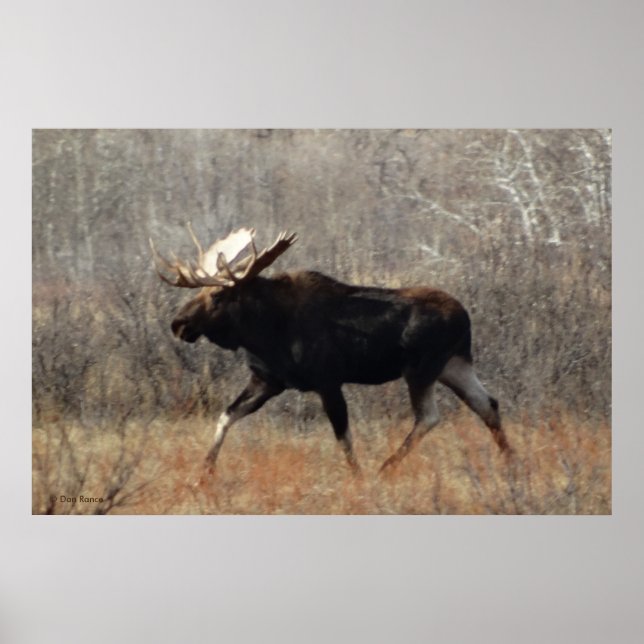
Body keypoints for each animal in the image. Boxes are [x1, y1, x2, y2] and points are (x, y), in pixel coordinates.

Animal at [150, 226, 510, 476]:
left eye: (217, 296)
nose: (178, 324)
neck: (264, 331)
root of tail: (465, 316)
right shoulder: (268, 381)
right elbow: (226, 416)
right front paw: (204, 473)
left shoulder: (327, 381)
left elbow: (343, 438)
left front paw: (359, 477)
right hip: (454, 365)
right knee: (487, 404)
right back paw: (512, 462)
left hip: (422, 369)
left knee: (429, 417)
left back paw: (385, 467)